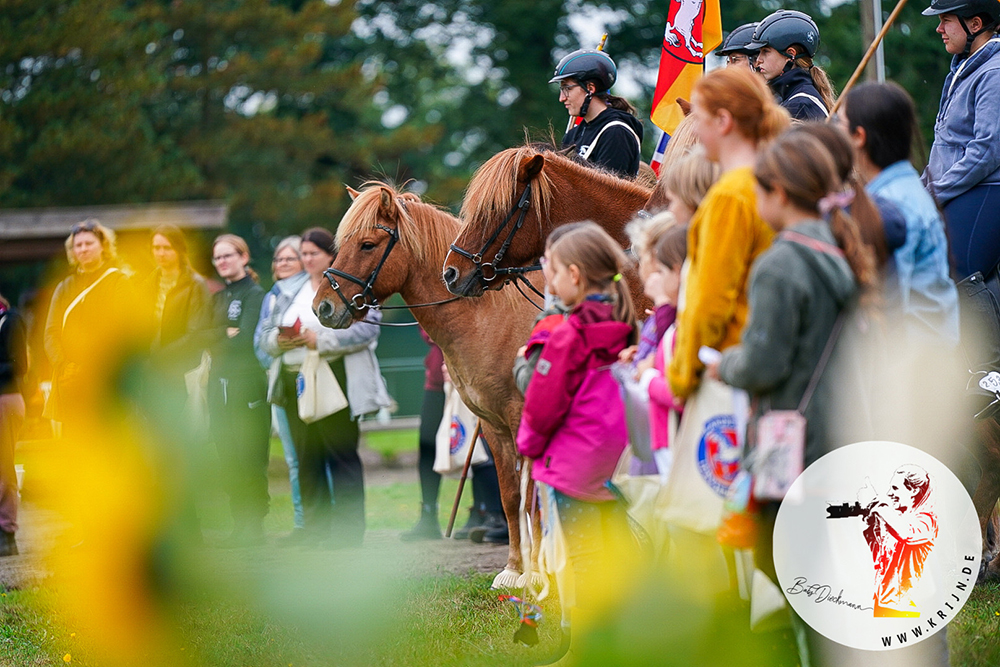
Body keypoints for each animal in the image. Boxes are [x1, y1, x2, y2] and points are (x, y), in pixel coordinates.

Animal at [316, 183, 544, 588]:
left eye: (368, 245)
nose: (322, 308)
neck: (490, 315)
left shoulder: (522, 419)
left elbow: (530, 495)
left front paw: (532, 575)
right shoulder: (493, 424)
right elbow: (510, 495)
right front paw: (512, 570)